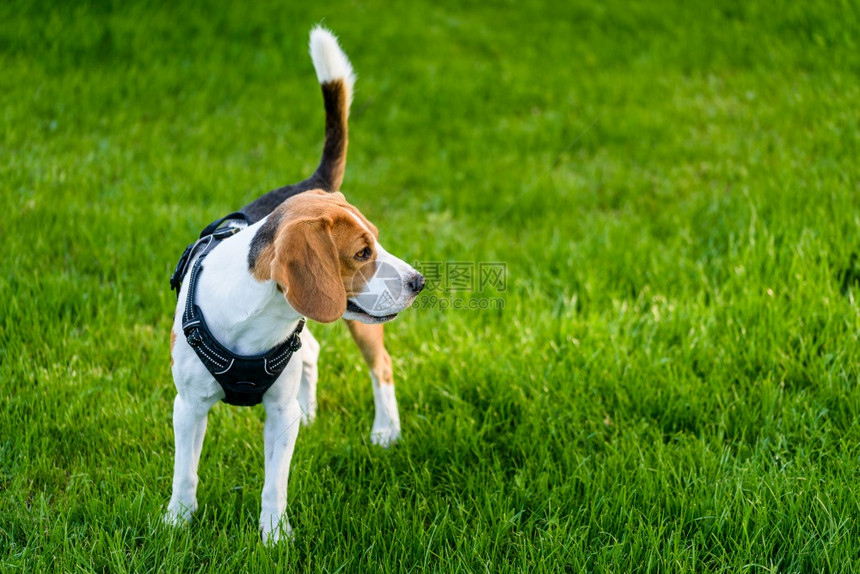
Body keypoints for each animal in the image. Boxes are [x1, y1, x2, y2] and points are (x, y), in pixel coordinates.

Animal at [164, 27, 424, 544]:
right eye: (362, 253)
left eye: (377, 242)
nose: (418, 281)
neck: (255, 323)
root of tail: (311, 179)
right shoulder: (189, 406)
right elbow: (186, 472)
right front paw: (177, 522)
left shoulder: (278, 415)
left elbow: (274, 482)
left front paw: (274, 537)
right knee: (312, 351)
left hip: (362, 325)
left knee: (381, 367)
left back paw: (385, 431)